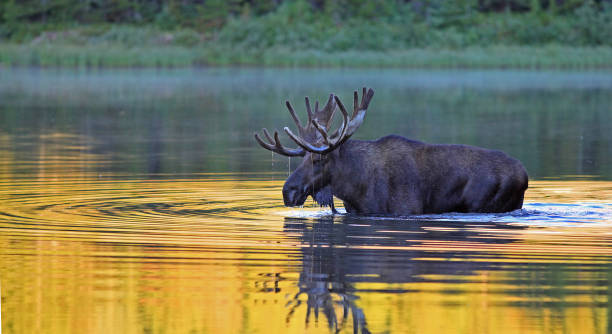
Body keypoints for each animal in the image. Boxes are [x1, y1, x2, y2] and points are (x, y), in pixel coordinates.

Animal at [256, 87, 528, 215]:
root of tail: (525, 175)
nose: (288, 191)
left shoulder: (406, 209)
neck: (355, 189)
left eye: (320, 158)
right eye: (302, 158)